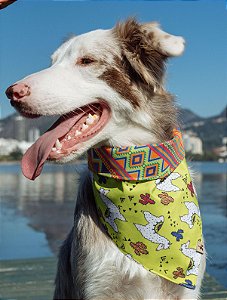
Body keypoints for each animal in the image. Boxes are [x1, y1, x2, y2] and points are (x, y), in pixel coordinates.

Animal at [6, 18, 207, 300]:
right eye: (53, 62)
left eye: (86, 61)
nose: (12, 92)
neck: (135, 174)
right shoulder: (96, 284)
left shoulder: (186, 288)